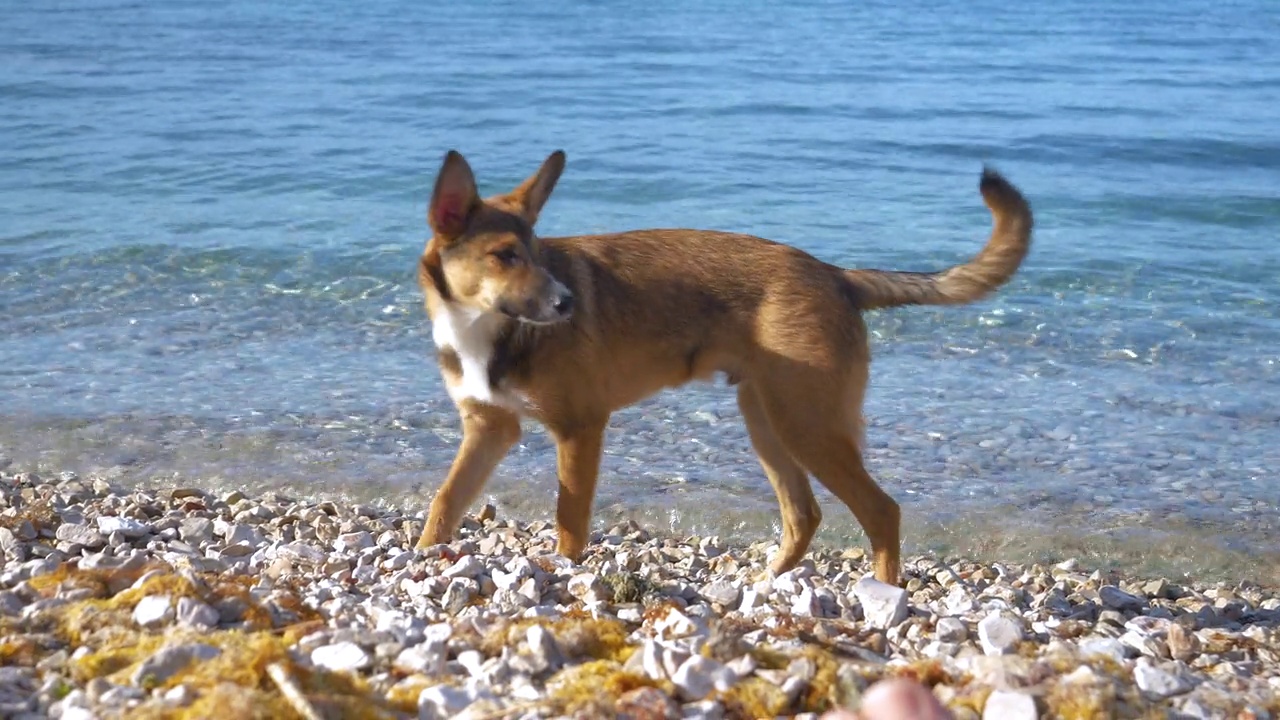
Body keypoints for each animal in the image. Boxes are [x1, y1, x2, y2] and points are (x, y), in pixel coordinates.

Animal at [414, 149, 1034, 584]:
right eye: (504, 256)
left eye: (538, 255)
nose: (567, 304)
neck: (485, 327)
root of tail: (835, 274)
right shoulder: (490, 429)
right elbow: (444, 501)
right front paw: (422, 557)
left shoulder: (578, 429)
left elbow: (569, 519)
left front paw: (565, 573)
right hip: (768, 419)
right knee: (804, 514)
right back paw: (767, 585)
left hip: (806, 426)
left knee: (882, 512)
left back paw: (882, 596)